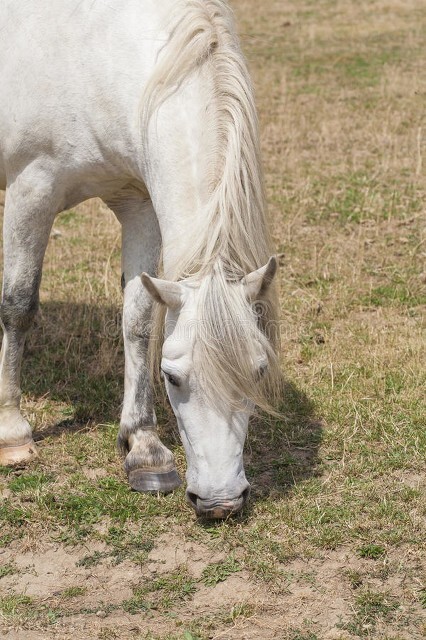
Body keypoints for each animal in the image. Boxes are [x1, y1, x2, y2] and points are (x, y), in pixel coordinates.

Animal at [0, 0, 280, 516]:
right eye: (172, 377)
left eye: (259, 370)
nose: (221, 502)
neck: (98, 51)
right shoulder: (33, 188)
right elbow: (19, 306)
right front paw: (12, 432)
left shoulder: (139, 202)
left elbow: (139, 318)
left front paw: (144, 447)